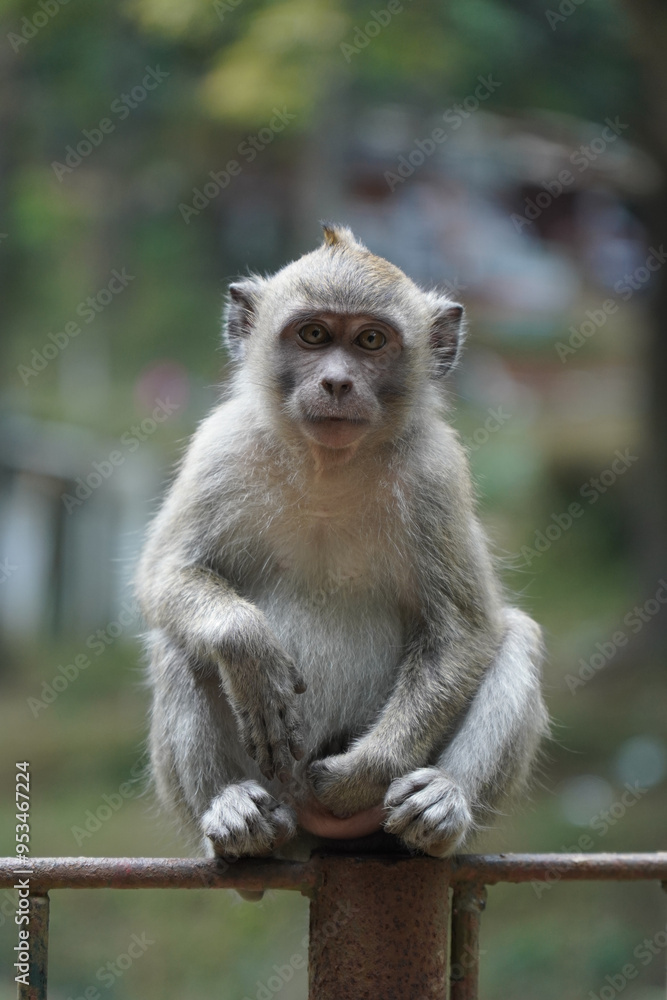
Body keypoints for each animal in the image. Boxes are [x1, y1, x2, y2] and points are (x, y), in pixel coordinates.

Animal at [136, 224, 548, 863]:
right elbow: (167, 576)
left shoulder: (435, 476)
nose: (336, 381)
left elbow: (464, 630)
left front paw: (362, 773)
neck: (328, 467)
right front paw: (250, 653)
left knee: (516, 637)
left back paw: (442, 806)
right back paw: (231, 813)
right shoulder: (221, 448)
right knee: (180, 643)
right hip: (274, 788)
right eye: (313, 335)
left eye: (371, 340)